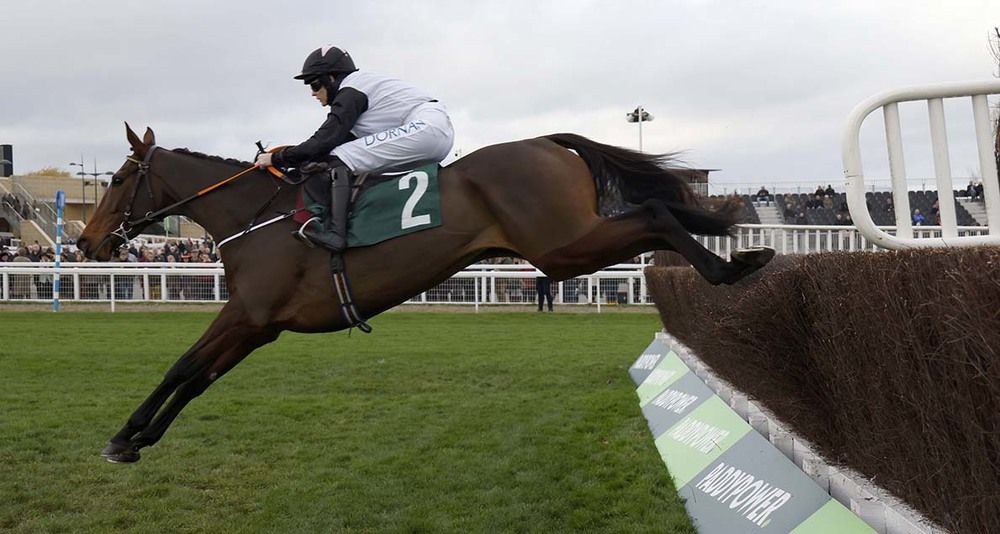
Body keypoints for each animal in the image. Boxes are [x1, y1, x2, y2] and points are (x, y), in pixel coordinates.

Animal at [82, 125, 776, 464]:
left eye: (115, 179)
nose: (88, 241)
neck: (255, 216)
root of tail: (549, 142)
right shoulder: (259, 325)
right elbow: (198, 378)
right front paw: (142, 438)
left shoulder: (246, 314)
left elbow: (181, 366)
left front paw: (124, 435)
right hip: (566, 242)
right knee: (657, 212)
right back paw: (743, 255)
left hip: (561, 246)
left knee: (655, 212)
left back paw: (734, 267)